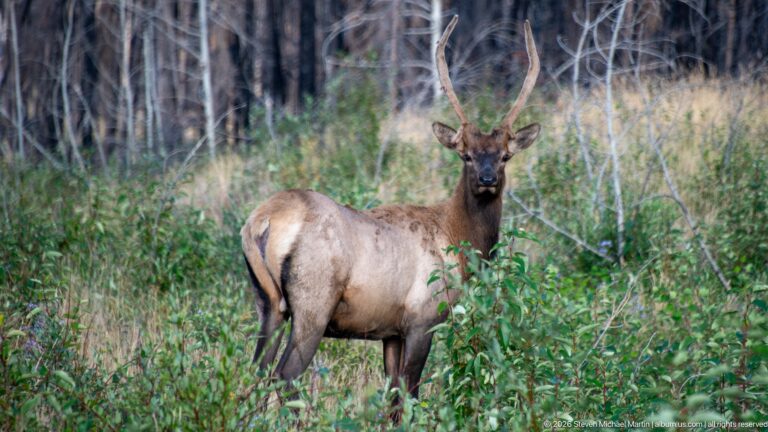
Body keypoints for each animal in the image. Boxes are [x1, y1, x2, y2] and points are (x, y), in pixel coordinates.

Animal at [241, 15, 540, 413]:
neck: (457, 240)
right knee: (284, 376)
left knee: (254, 374)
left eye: (504, 156)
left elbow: (393, 398)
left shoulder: (391, 332)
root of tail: (262, 222)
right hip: (313, 303)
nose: (488, 179)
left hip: (268, 304)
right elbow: (410, 394)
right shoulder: (423, 317)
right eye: (466, 155)